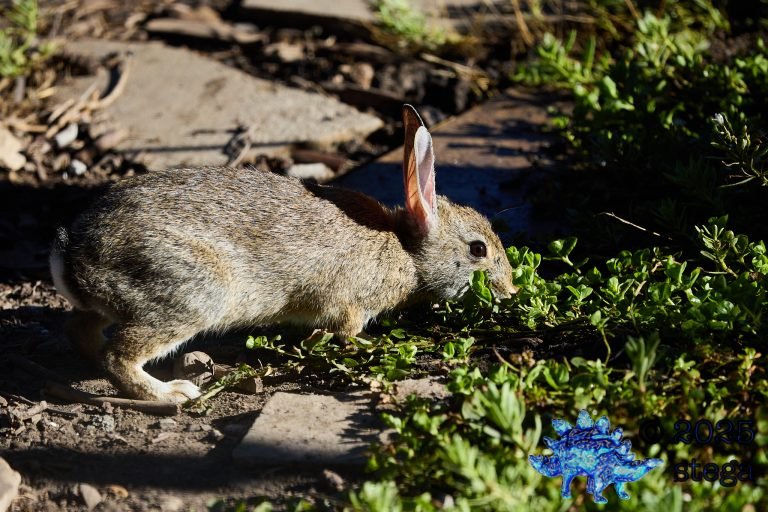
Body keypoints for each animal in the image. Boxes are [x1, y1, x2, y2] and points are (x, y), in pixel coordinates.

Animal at [49, 105, 517, 403]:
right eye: (477, 249)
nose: (510, 290)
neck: (406, 248)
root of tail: (73, 252)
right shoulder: (349, 304)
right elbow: (347, 330)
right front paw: (368, 344)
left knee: (80, 330)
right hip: (190, 294)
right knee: (119, 355)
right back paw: (171, 393)